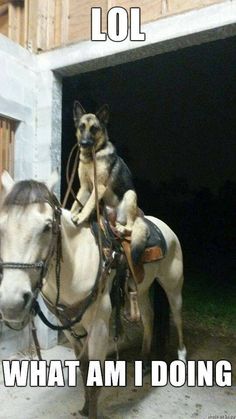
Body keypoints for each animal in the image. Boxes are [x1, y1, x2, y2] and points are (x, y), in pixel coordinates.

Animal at [0, 172, 185, 418]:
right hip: (143, 289)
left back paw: (182, 356)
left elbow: (96, 379)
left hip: (173, 286)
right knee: (148, 317)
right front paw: (86, 407)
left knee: (177, 316)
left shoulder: (99, 328)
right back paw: (145, 363)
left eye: (47, 227)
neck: (75, 265)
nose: (11, 304)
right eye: (1, 227)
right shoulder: (69, 327)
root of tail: (162, 226)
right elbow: (85, 369)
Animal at [70, 102, 149, 264]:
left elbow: (88, 204)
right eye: (81, 127)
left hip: (130, 195)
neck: (92, 155)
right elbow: (76, 203)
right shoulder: (84, 188)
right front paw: (72, 212)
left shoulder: (98, 187)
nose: (84, 143)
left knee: (131, 226)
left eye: (94, 128)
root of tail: (140, 214)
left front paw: (80, 217)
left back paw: (124, 228)